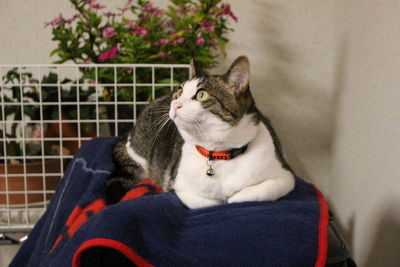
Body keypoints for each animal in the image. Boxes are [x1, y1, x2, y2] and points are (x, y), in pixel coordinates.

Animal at [104, 56, 296, 209]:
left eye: (201, 95)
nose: (175, 104)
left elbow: (249, 195)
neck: (219, 153)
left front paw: (233, 197)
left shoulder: (286, 177)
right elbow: (207, 202)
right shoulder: (178, 184)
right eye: (179, 92)